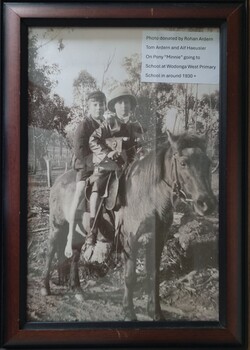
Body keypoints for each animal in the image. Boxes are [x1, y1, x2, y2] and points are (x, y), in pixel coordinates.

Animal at [40, 131, 216, 320]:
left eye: (208, 162)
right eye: (183, 163)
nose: (207, 204)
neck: (147, 196)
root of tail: (59, 180)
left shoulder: (157, 241)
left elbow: (153, 275)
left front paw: (155, 312)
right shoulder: (131, 241)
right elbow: (130, 277)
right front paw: (128, 312)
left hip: (80, 231)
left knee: (74, 256)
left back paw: (77, 290)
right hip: (57, 226)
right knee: (50, 252)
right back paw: (45, 287)